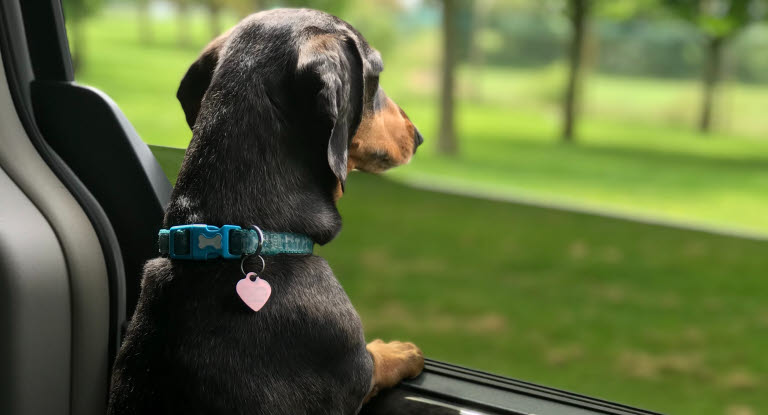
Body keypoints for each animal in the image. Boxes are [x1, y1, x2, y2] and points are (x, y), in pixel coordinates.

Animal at [106, 6, 426, 415]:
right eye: (378, 74)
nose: (419, 136)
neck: (230, 236)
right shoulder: (355, 368)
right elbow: (380, 362)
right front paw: (400, 349)